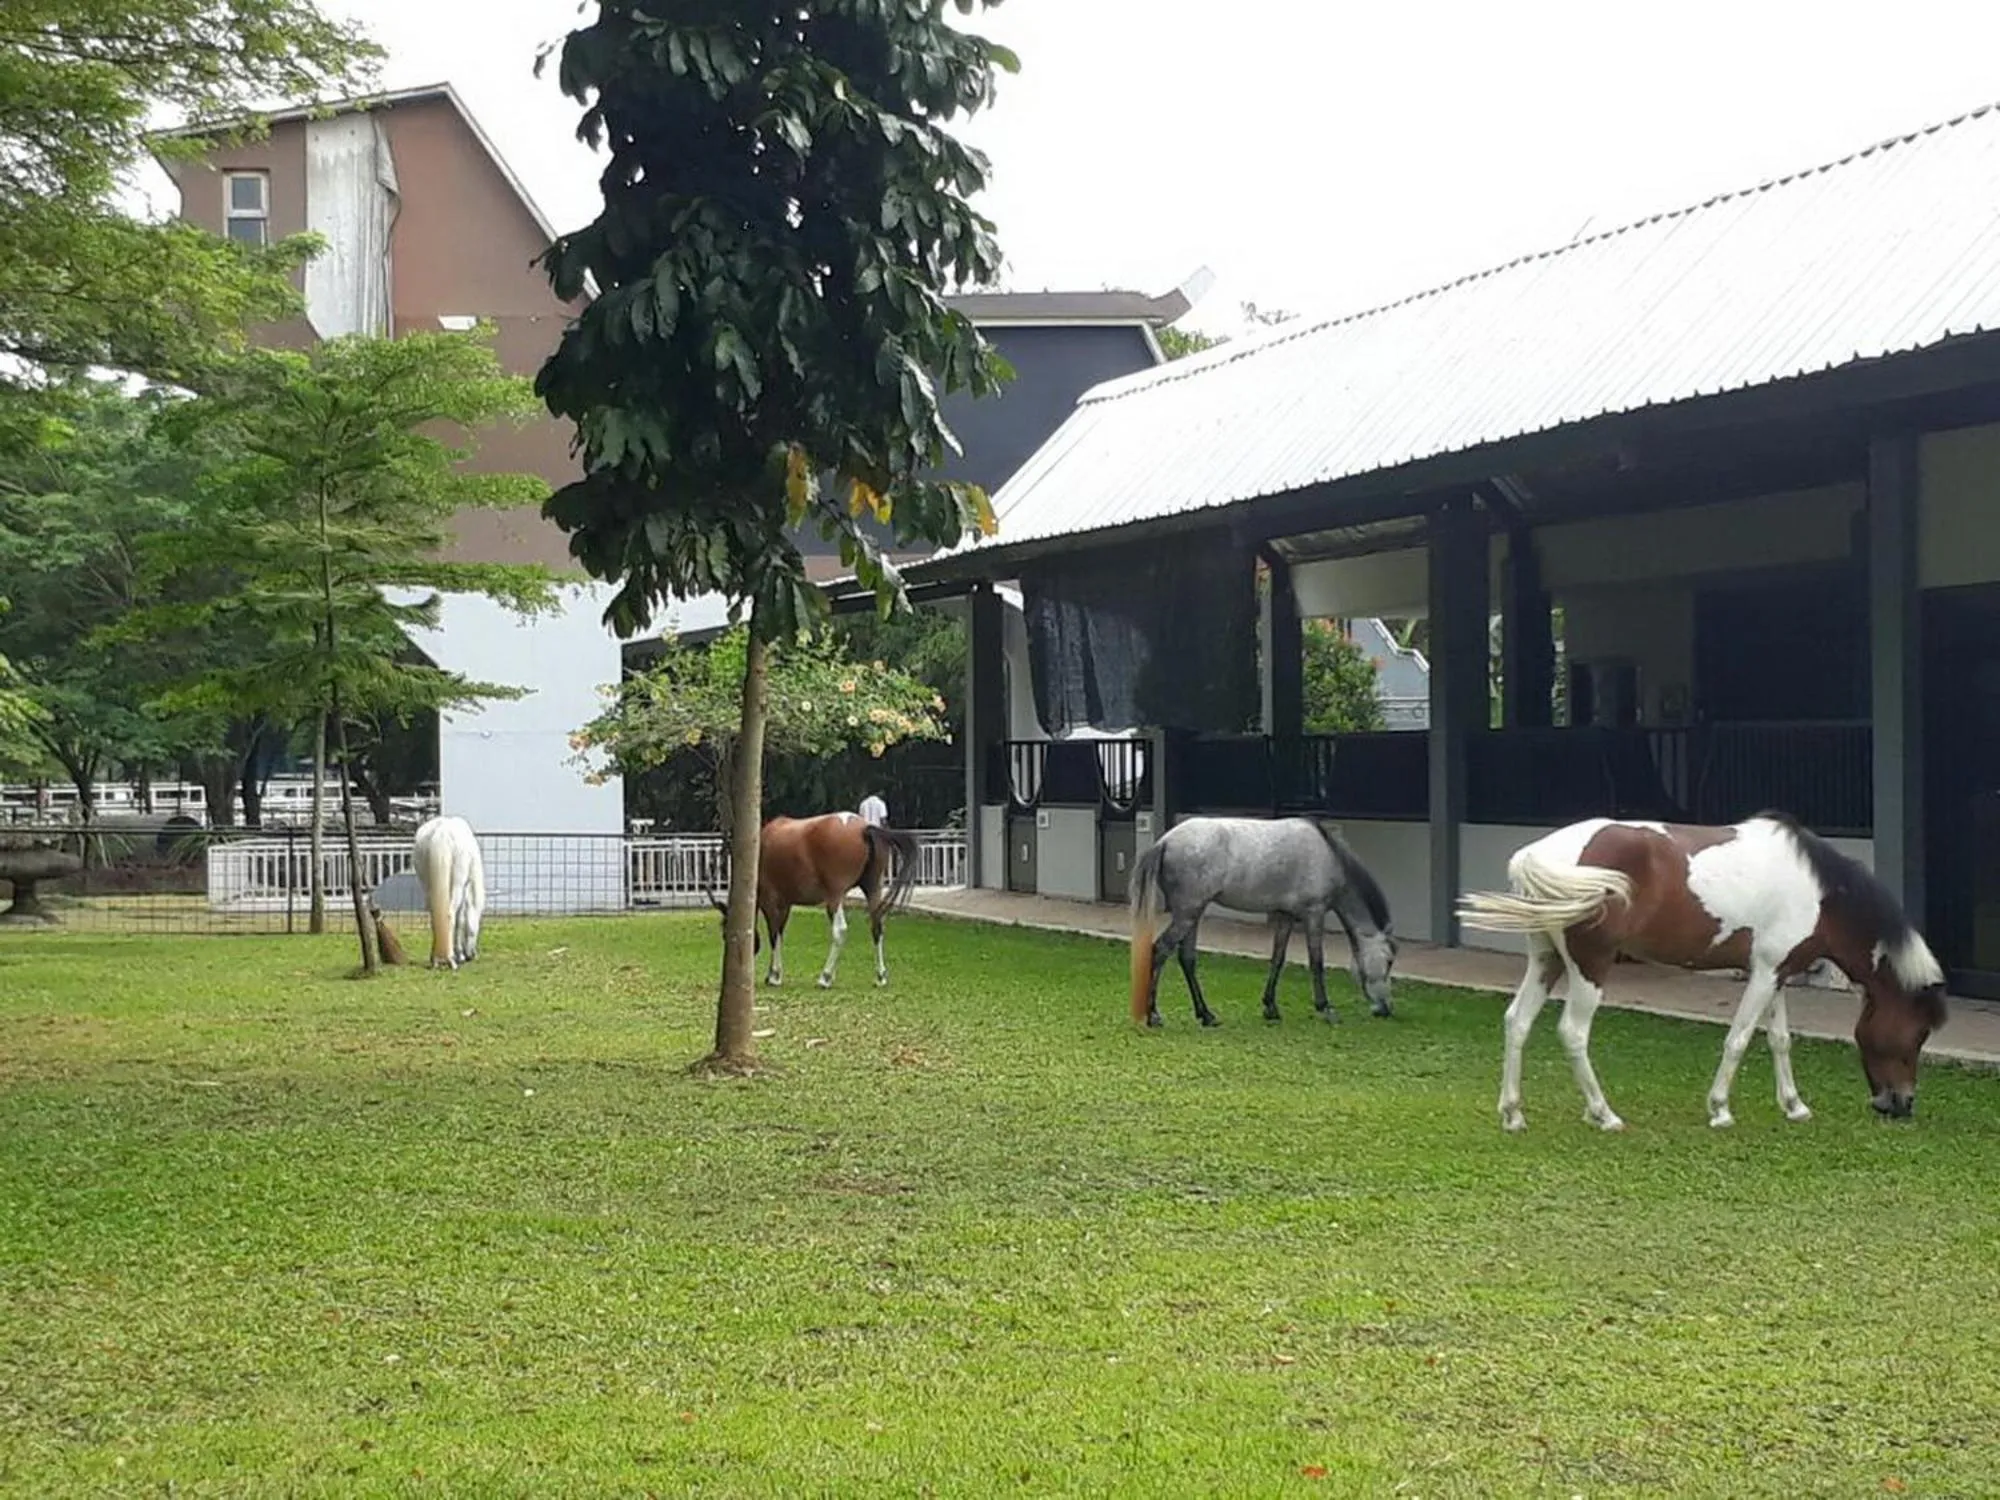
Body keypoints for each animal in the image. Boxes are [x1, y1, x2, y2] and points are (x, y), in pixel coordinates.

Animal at [412, 814, 486, 971]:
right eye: (475, 930)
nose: (471, 955)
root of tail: (442, 832)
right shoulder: (464, 889)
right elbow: (460, 920)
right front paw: (460, 955)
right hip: (457, 884)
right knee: (450, 914)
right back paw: (451, 960)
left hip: (427, 885)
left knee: (435, 916)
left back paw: (435, 959)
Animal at [708, 812, 922, 988]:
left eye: (725, 931)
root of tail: (864, 828)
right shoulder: (786, 904)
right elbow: (780, 932)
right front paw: (772, 974)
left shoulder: (771, 901)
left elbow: (774, 934)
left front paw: (775, 976)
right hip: (872, 889)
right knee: (877, 925)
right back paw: (880, 976)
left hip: (834, 896)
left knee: (840, 930)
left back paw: (825, 977)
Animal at [1127, 815, 1397, 1028]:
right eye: (1389, 961)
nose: (1385, 1009)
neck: (1328, 855)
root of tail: (1165, 842)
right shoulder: (1314, 913)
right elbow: (1316, 961)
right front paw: (1326, 1008)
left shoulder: (1285, 916)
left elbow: (1278, 959)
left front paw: (1271, 1008)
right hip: (1187, 914)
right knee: (1161, 950)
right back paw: (1154, 1015)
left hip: (1192, 914)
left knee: (1187, 958)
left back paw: (1206, 1015)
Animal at [1457, 811, 1948, 1132]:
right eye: (1917, 1032)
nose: (1901, 1103)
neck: (1817, 891)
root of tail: (1537, 855)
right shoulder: (1764, 974)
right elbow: (1739, 1039)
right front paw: (1720, 1109)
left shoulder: (1777, 972)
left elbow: (1779, 1040)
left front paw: (1794, 1106)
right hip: (1589, 967)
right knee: (1573, 1032)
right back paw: (1604, 1114)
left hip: (1547, 961)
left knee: (1518, 1022)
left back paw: (1513, 1114)